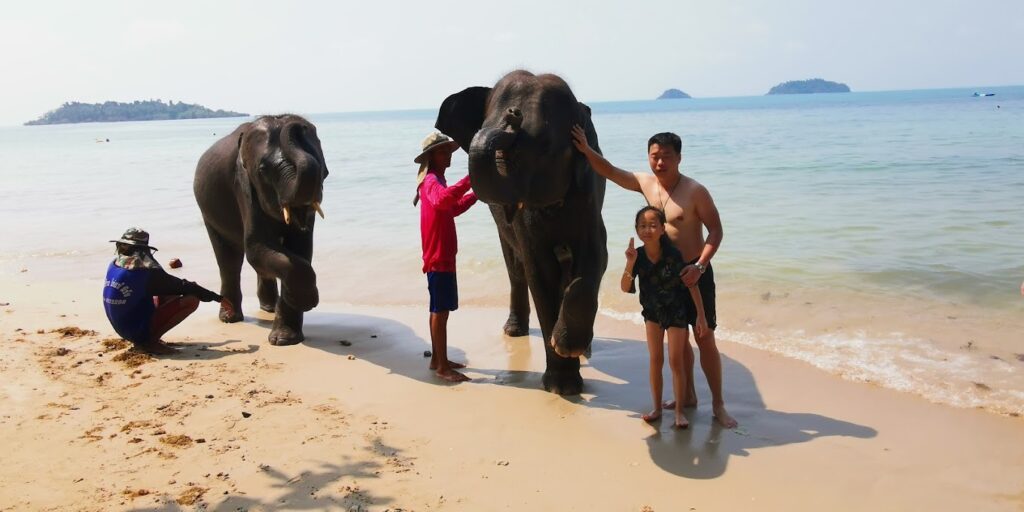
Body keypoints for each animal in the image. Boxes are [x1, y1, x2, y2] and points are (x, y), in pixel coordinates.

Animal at [194, 114, 327, 346]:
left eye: (322, 166)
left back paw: (269, 308)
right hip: (208, 213)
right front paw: (306, 301)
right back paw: (229, 318)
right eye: (263, 170)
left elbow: (301, 250)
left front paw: (284, 339)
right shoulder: (244, 186)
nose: (296, 124)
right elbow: (256, 248)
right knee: (228, 261)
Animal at [434, 70, 606, 393]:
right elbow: (540, 270)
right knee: (516, 269)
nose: (512, 115)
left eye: (545, 146)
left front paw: (568, 347)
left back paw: (585, 347)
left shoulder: (590, 194)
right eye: (481, 127)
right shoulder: (524, 223)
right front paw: (562, 388)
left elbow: (595, 256)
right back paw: (514, 332)